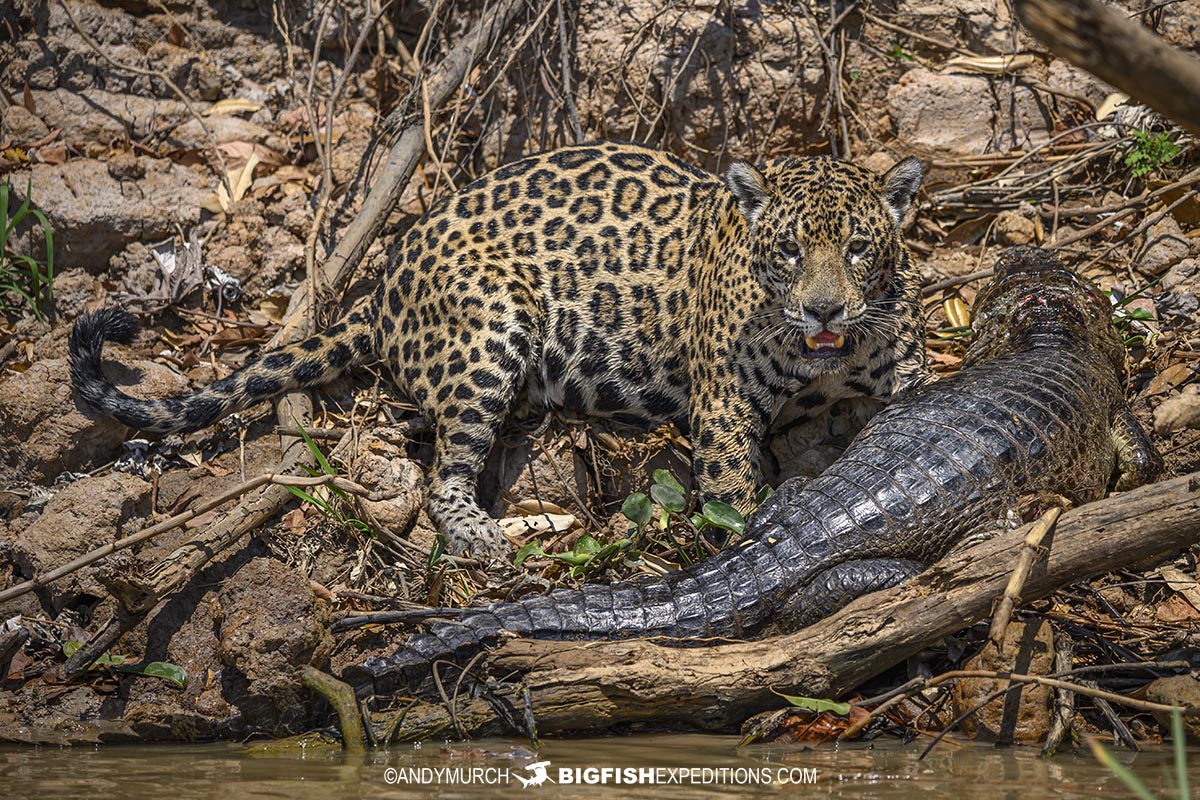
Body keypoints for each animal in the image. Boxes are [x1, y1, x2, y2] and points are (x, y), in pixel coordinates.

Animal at [70, 141, 930, 560]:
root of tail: (381, 288)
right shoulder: (723, 406)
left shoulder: (908, 377)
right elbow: (730, 492)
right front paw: (744, 542)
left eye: (858, 249)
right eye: (787, 251)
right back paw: (481, 537)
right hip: (489, 333)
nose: (823, 309)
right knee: (442, 472)